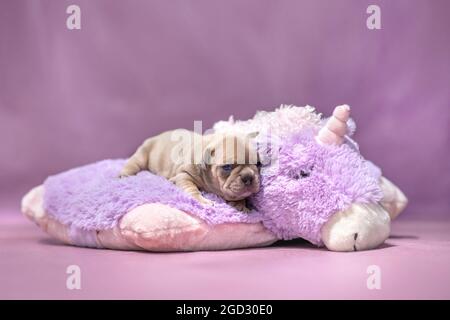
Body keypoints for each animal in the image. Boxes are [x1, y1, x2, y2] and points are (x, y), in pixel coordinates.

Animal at [119, 129, 260, 211]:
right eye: (227, 167)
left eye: (258, 164)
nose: (248, 177)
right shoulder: (183, 175)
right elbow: (192, 189)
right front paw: (202, 201)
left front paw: (240, 204)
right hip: (143, 154)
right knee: (133, 163)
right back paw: (124, 175)